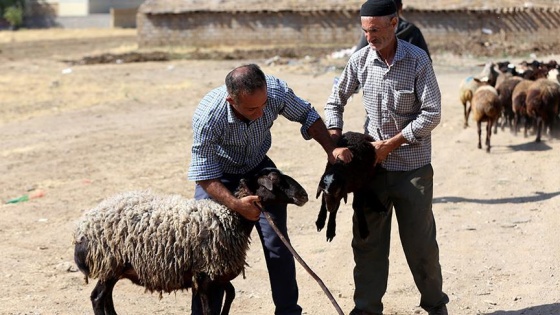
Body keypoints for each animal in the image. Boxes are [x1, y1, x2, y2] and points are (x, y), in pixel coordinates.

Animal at [72, 169, 308, 314]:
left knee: (106, 297)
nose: (304, 195)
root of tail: (83, 227)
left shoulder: (216, 273)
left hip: (112, 269)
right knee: (97, 298)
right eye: (275, 180)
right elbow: (209, 309)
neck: (229, 216)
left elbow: (231, 293)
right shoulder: (204, 276)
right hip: (109, 264)